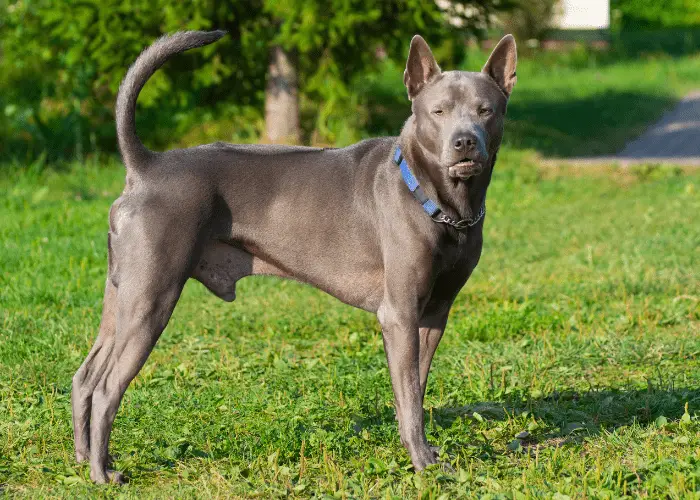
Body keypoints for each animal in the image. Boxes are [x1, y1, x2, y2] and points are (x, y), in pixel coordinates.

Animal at [71, 29, 516, 482]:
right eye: (438, 111)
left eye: (486, 110)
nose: (465, 142)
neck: (440, 202)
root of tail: (147, 167)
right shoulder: (400, 313)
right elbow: (409, 395)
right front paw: (423, 461)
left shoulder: (434, 314)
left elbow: (415, 388)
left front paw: (422, 448)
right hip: (151, 297)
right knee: (107, 387)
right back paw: (103, 472)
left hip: (121, 294)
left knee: (85, 376)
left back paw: (85, 456)